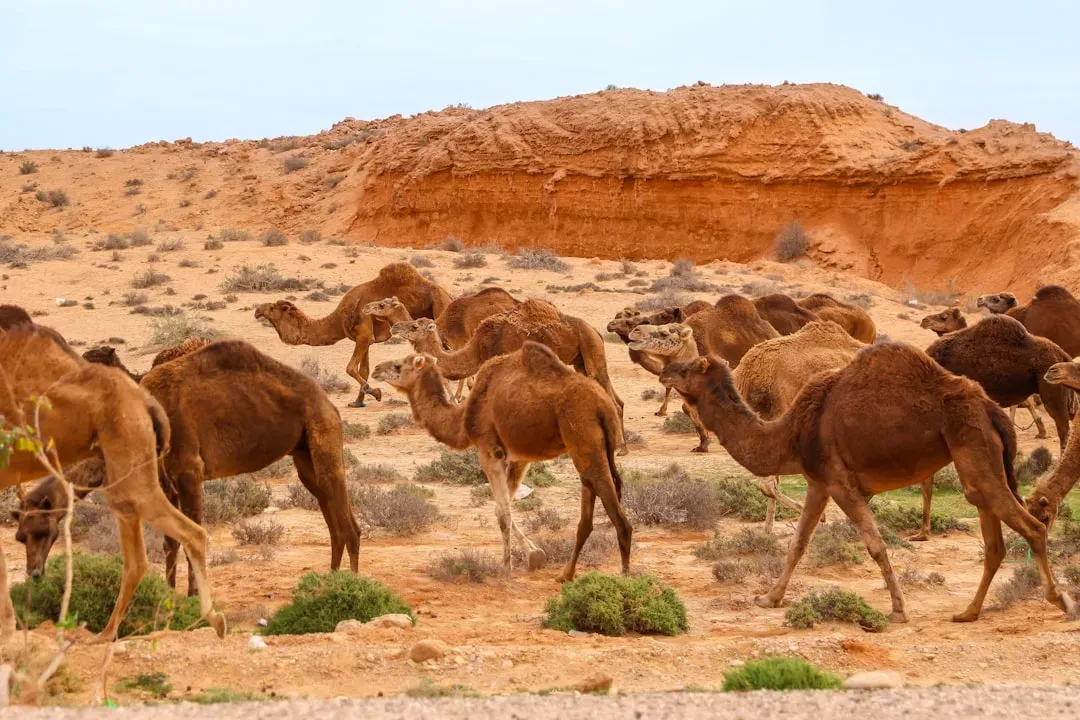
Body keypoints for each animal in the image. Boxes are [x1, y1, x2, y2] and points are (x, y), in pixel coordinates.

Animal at [16, 340, 362, 595]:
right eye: (20, 536)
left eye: (42, 530)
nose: (34, 573)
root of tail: (327, 400)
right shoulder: (166, 478)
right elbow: (171, 539)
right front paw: (169, 594)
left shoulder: (189, 471)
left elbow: (195, 532)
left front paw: (195, 596)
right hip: (303, 453)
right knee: (331, 513)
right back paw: (329, 580)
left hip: (323, 432)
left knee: (346, 521)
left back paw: (349, 587)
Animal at [255, 262, 452, 407]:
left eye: (273, 307)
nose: (257, 310)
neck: (341, 315)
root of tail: (447, 295)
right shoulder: (366, 339)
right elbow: (363, 370)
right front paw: (358, 402)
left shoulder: (363, 334)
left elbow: (350, 368)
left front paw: (375, 393)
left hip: (440, 313)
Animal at [371, 342, 631, 581]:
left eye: (399, 365)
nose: (375, 368)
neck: (463, 418)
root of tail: (603, 406)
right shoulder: (519, 458)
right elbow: (504, 506)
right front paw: (534, 555)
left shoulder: (489, 450)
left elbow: (503, 513)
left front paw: (506, 568)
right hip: (589, 448)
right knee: (588, 504)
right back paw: (566, 574)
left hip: (583, 436)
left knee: (618, 516)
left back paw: (625, 577)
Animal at [631, 320, 863, 530]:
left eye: (664, 332)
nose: (634, 331)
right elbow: (770, 484)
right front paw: (768, 531)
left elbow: (769, 484)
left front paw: (819, 519)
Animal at [658, 342, 1075, 623]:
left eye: (690, 367)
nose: (664, 372)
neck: (791, 432)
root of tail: (989, 408)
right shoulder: (819, 482)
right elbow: (798, 543)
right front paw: (769, 598)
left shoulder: (841, 484)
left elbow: (874, 545)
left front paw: (898, 609)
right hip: (978, 460)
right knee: (993, 539)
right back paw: (968, 612)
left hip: (974, 448)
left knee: (1032, 527)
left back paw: (1062, 602)